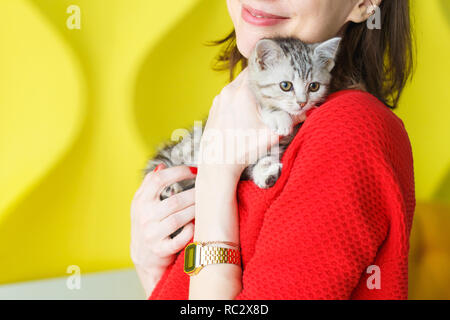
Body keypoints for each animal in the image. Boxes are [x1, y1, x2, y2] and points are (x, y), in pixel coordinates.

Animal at [145, 37, 342, 238]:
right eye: (286, 85)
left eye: (314, 86)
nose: (302, 103)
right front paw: (278, 116)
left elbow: (264, 159)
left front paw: (266, 173)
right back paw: (170, 190)